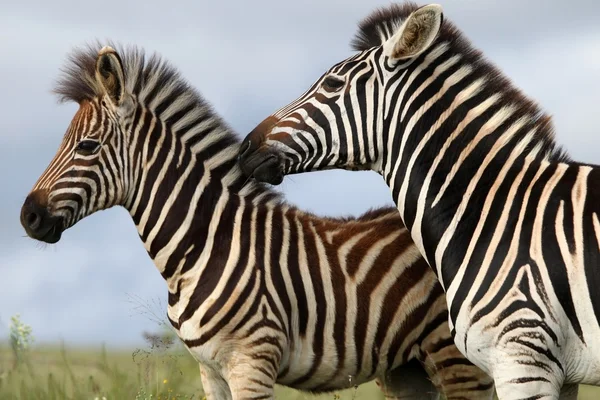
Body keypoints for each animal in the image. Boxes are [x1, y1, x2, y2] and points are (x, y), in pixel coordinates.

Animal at [19, 43, 496, 400]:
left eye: (87, 146)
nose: (27, 217)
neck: (204, 247)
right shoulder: (210, 371)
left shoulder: (251, 363)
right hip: (409, 368)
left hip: (455, 358)